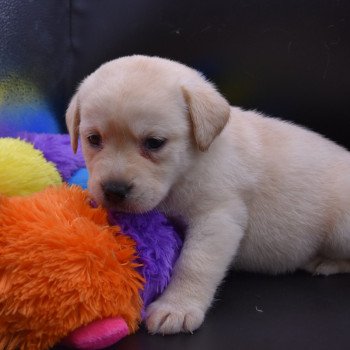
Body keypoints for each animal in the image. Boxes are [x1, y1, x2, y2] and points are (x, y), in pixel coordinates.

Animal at [65, 54, 350, 334]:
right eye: (93, 139)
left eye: (154, 143)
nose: (114, 191)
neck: (189, 166)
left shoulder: (218, 218)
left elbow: (194, 262)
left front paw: (177, 307)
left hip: (340, 228)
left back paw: (325, 261)